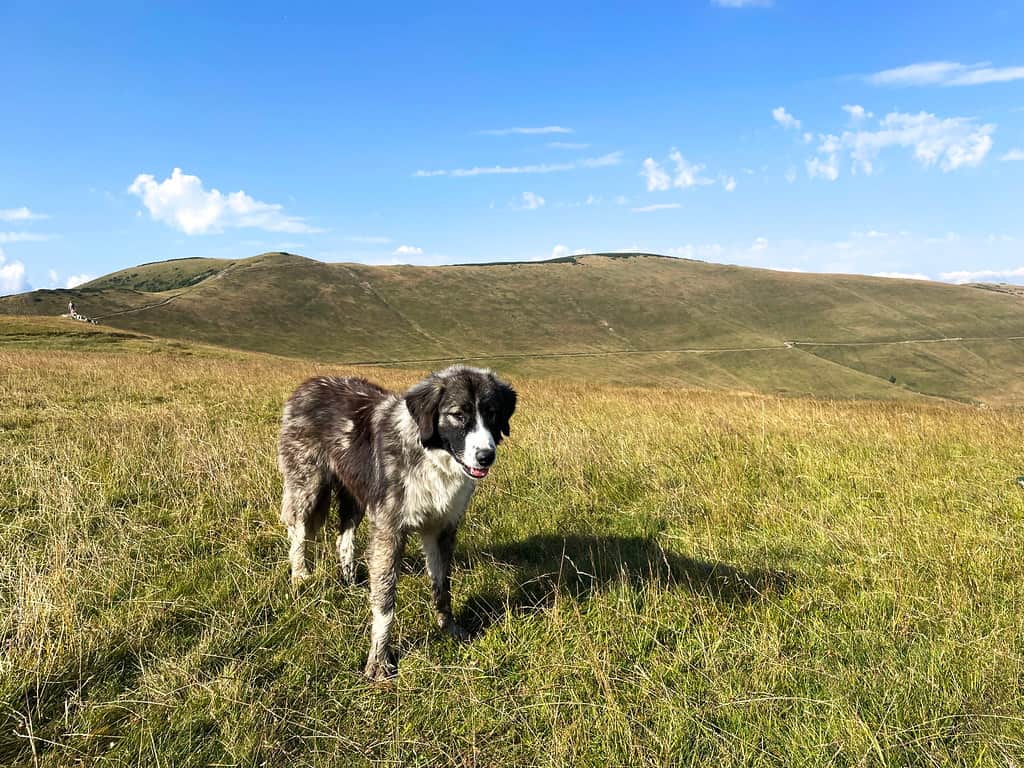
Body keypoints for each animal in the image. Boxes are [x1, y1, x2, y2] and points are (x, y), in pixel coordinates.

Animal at [278, 366, 516, 679]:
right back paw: (300, 576)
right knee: (299, 531)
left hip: (357, 495)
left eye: (492, 413)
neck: (431, 457)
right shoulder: (390, 530)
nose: (486, 456)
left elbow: (442, 586)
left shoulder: (441, 530)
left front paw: (449, 628)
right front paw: (379, 661)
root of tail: (308, 384)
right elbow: (385, 602)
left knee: (344, 536)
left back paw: (350, 580)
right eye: (458, 415)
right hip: (308, 485)